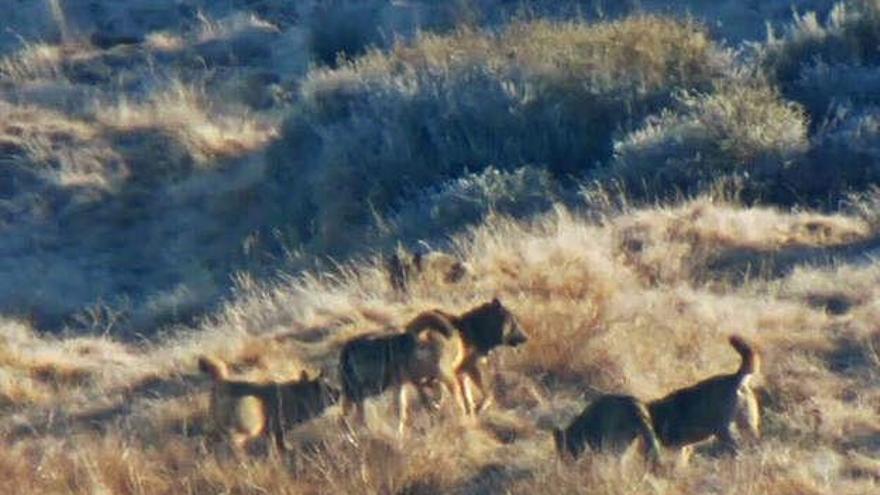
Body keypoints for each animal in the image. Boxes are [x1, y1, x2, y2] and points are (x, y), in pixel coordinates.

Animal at [199, 356, 340, 454]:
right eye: (328, 388)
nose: (339, 391)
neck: (299, 393)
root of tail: (222, 381)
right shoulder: (279, 426)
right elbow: (280, 440)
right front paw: (286, 449)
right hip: (248, 426)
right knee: (235, 441)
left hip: (217, 425)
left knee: (209, 439)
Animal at [644, 336, 760, 464]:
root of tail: (736, 377)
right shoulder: (684, 446)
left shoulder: (678, 446)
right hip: (748, 425)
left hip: (724, 430)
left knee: (738, 448)